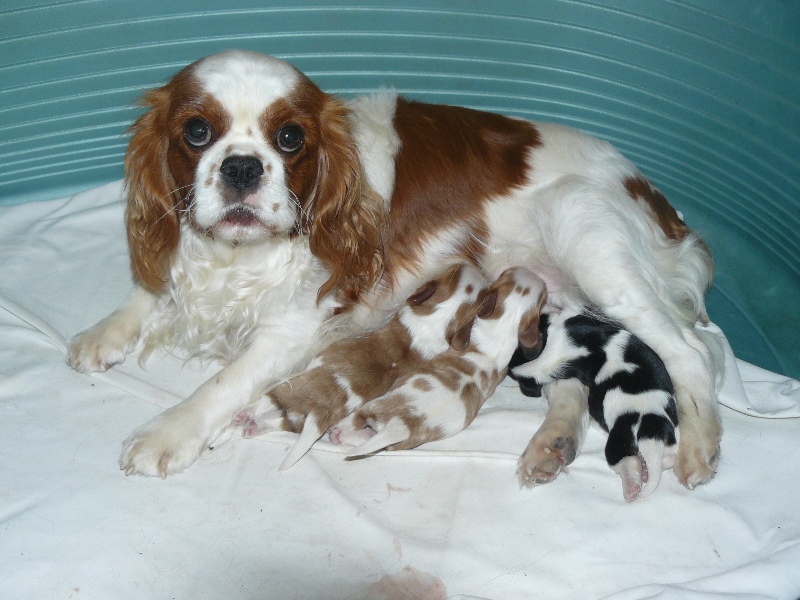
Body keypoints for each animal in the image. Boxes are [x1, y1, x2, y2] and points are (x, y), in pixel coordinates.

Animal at [231, 264, 488, 472]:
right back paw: (254, 427)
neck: (439, 317)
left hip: (290, 389)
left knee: (267, 402)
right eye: (456, 269)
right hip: (301, 416)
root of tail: (319, 412)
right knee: (282, 422)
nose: (478, 267)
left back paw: (245, 416)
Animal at [332, 268, 552, 460]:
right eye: (507, 273)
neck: (502, 326)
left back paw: (337, 432)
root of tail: (403, 424)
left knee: (356, 423)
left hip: (373, 407)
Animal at [510, 310, 680, 502]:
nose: (510, 369)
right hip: (670, 436)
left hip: (618, 442)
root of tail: (650, 429)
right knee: (669, 458)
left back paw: (632, 487)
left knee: (627, 461)